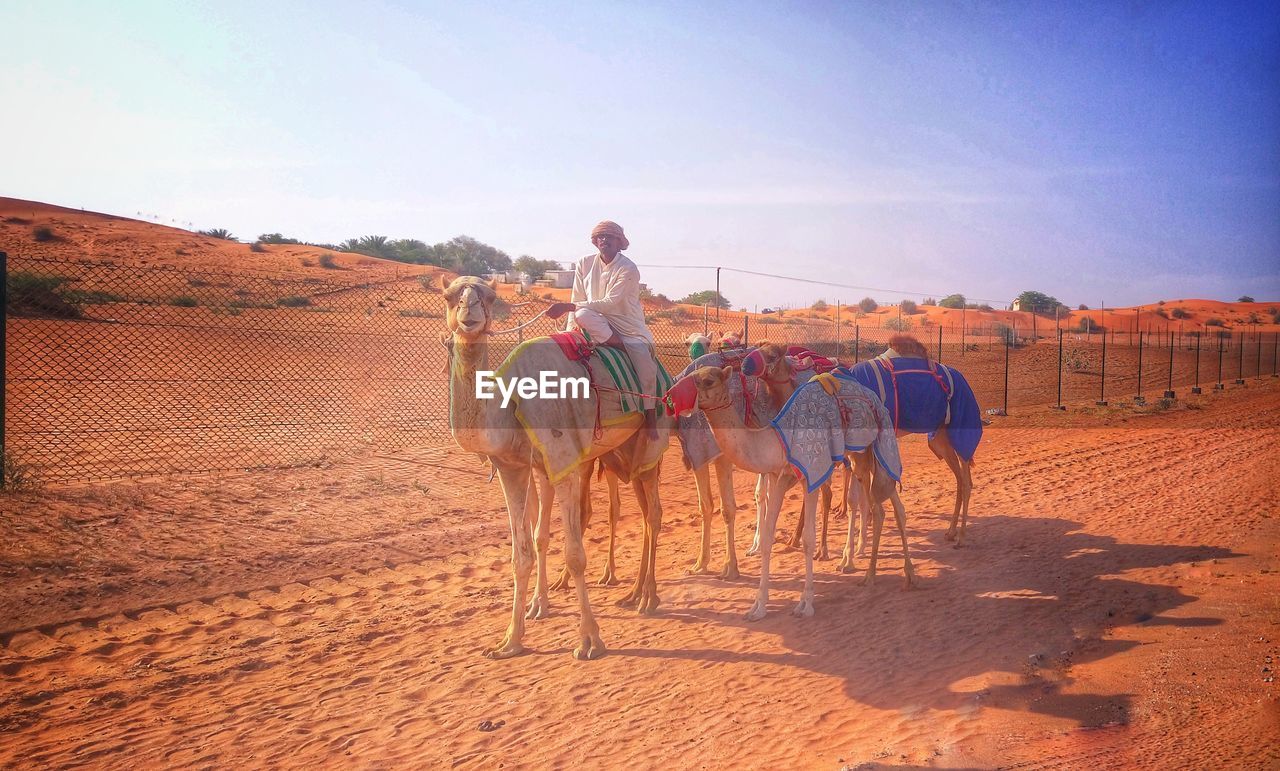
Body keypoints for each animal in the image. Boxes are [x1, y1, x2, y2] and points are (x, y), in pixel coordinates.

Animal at [448, 272, 670, 655]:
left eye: (489, 297)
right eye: (449, 296)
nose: (468, 314)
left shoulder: (560, 458)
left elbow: (575, 553)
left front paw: (590, 639)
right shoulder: (516, 467)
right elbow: (525, 550)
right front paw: (512, 638)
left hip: (648, 444)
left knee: (653, 514)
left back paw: (647, 598)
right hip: (617, 452)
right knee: (642, 513)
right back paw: (634, 594)